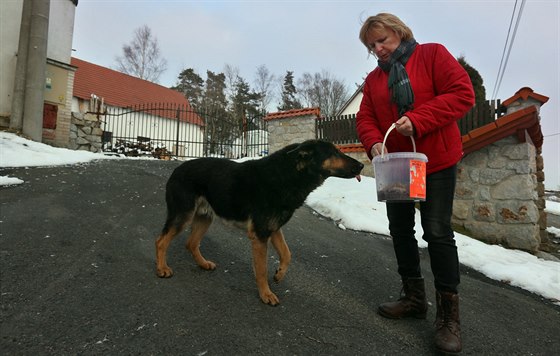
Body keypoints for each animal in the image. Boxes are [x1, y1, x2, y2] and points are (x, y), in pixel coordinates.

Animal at [154, 138, 364, 304]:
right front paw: (266, 294)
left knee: (191, 243)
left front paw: (279, 274)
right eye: (334, 152)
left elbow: (287, 254)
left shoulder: (274, 229)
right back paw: (162, 269)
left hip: (205, 218)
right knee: (161, 241)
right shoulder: (260, 235)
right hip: (183, 216)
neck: (289, 174)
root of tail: (176, 169)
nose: (361, 166)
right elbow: (262, 269)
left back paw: (203, 264)